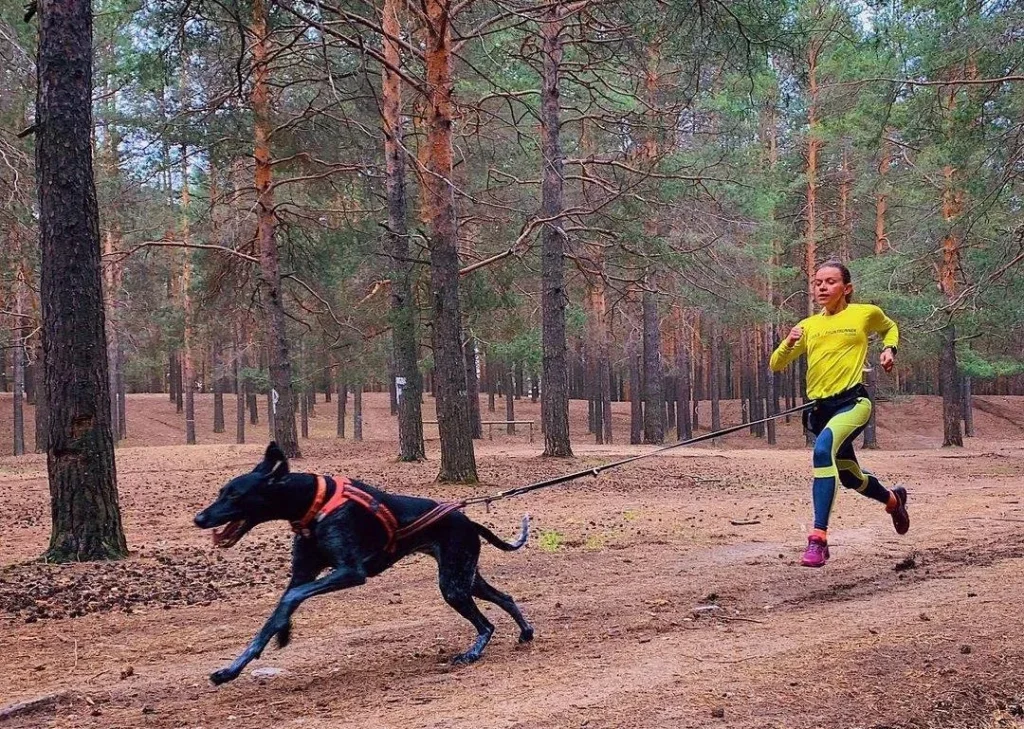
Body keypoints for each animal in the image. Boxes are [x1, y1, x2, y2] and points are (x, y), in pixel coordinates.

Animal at [192, 442, 532, 688]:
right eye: (221, 491)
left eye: (235, 494)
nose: (198, 518)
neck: (315, 504)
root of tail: (468, 520)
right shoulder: (303, 574)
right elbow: (274, 616)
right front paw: (233, 668)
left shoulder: (351, 572)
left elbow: (291, 597)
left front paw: (283, 630)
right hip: (465, 577)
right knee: (505, 598)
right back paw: (525, 633)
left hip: (453, 585)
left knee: (486, 625)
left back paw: (472, 653)